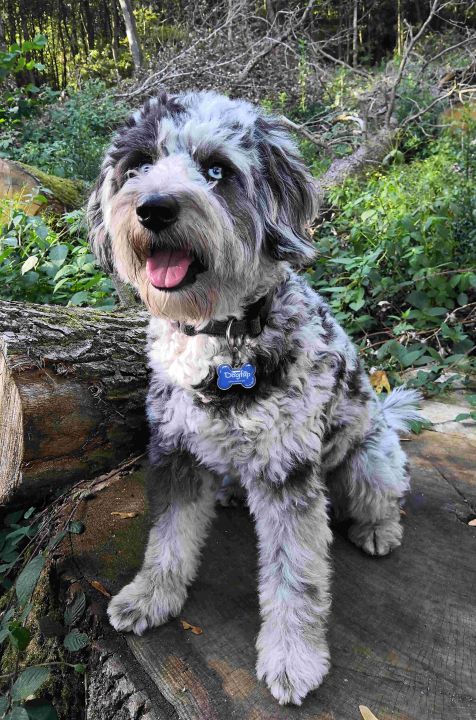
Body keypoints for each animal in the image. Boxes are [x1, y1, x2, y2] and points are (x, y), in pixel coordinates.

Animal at [86, 88, 420, 704]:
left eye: (217, 170)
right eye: (137, 166)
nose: (153, 208)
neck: (222, 336)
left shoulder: (288, 471)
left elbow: (297, 575)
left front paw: (293, 659)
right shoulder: (174, 451)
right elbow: (167, 538)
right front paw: (150, 596)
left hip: (370, 461)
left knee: (384, 497)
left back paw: (379, 530)